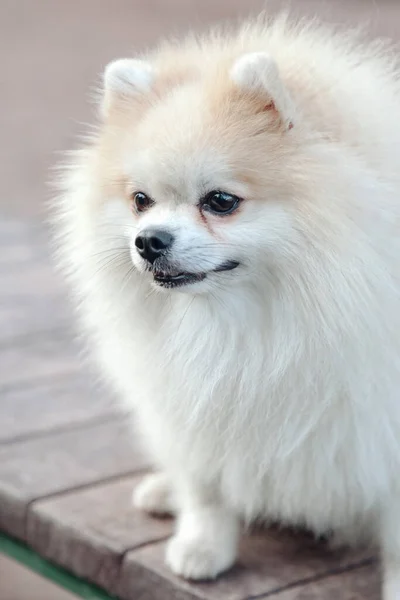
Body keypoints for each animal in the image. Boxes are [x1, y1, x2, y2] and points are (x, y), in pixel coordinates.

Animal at [54, 11, 400, 596]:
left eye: (220, 201)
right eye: (140, 200)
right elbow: (206, 488)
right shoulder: (196, 406)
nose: (148, 240)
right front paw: (201, 545)